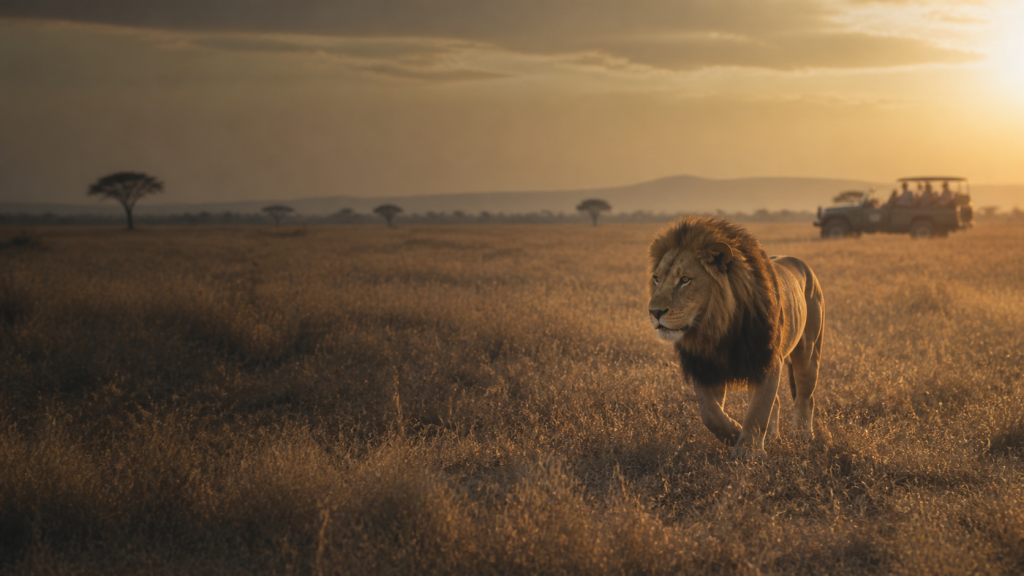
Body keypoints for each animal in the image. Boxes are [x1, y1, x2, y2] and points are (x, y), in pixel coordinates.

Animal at [647, 216, 824, 461]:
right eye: (656, 278)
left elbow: (759, 409)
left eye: (684, 280)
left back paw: (801, 434)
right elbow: (710, 413)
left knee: (806, 395)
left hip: (809, 351)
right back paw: (770, 437)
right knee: (778, 401)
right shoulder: (705, 366)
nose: (654, 312)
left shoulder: (768, 359)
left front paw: (748, 451)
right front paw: (734, 434)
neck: (717, 327)